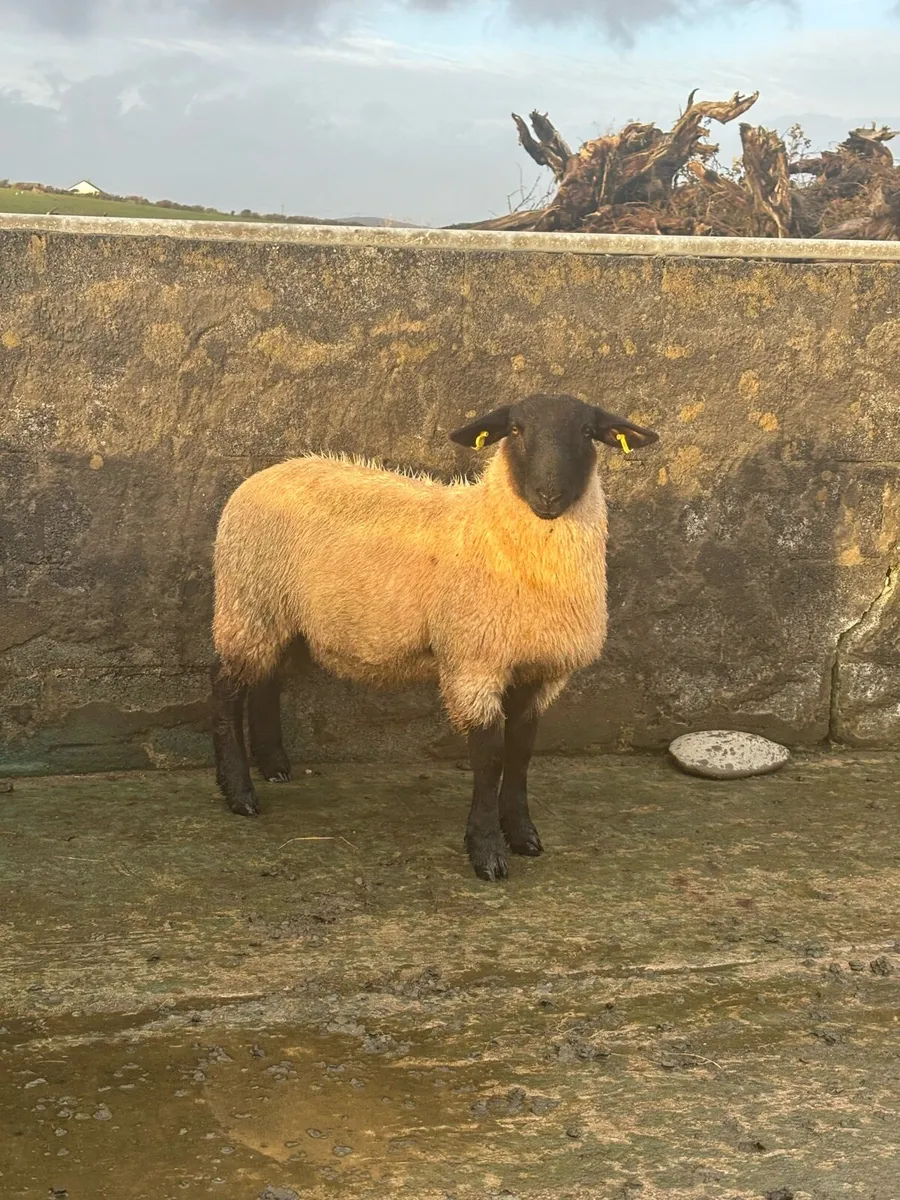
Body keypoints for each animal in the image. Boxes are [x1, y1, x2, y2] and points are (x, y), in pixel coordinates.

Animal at [210, 392, 659, 881]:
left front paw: (522, 834)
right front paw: (486, 851)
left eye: (587, 432)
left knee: (266, 680)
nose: (548, 495)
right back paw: (240, 793)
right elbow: (489, 756)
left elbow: (521, 751)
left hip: (285, 619)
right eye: (515, 429)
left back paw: (274, 765)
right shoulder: (473, 661)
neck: (492, 529)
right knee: (226, 689)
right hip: (248, 602)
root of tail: (265, 473)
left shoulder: (539, 670)